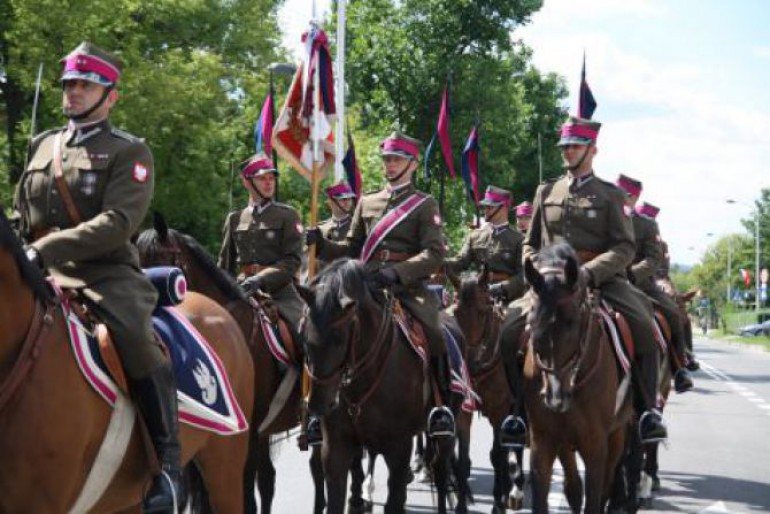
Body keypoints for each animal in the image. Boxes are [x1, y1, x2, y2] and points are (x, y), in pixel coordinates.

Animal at [300, 260, 468, 512]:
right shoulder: (336, 447)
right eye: (304, 335)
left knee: (440, 471)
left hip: (446, 430)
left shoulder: (398, 448)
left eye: (339, 337)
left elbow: (394, 500)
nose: (318, 405)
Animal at [520, 242, 632, 510]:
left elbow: (595, 498)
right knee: (573, 485)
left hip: (618, 433)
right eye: (532, 319)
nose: (555, 398)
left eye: (572, 322)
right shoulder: (543, 441)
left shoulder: (596, 446)